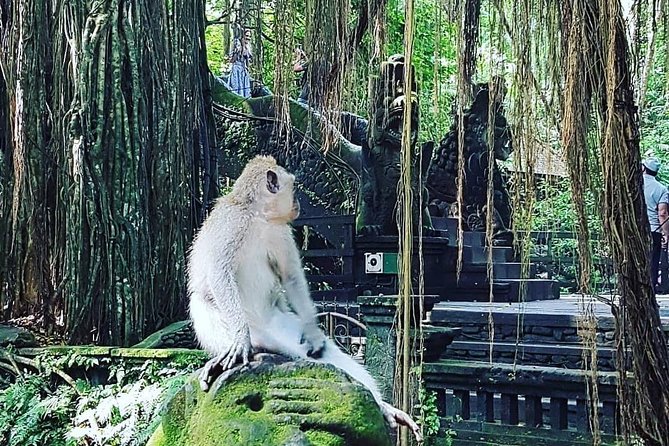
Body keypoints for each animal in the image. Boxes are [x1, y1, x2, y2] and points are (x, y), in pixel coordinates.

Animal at [188, 155, 422, 442]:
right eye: (293, 188)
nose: (298, 202)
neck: (260, 217)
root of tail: (265, 332)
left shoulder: (281, 232)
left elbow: (291, 277)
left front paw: (313, 332)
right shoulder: (232, 224)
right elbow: (219, 273)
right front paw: (240, 340)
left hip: (280, 323)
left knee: (325, 358)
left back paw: (384, 408)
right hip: (230, 326)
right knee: (202, 302)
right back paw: (234, 351)